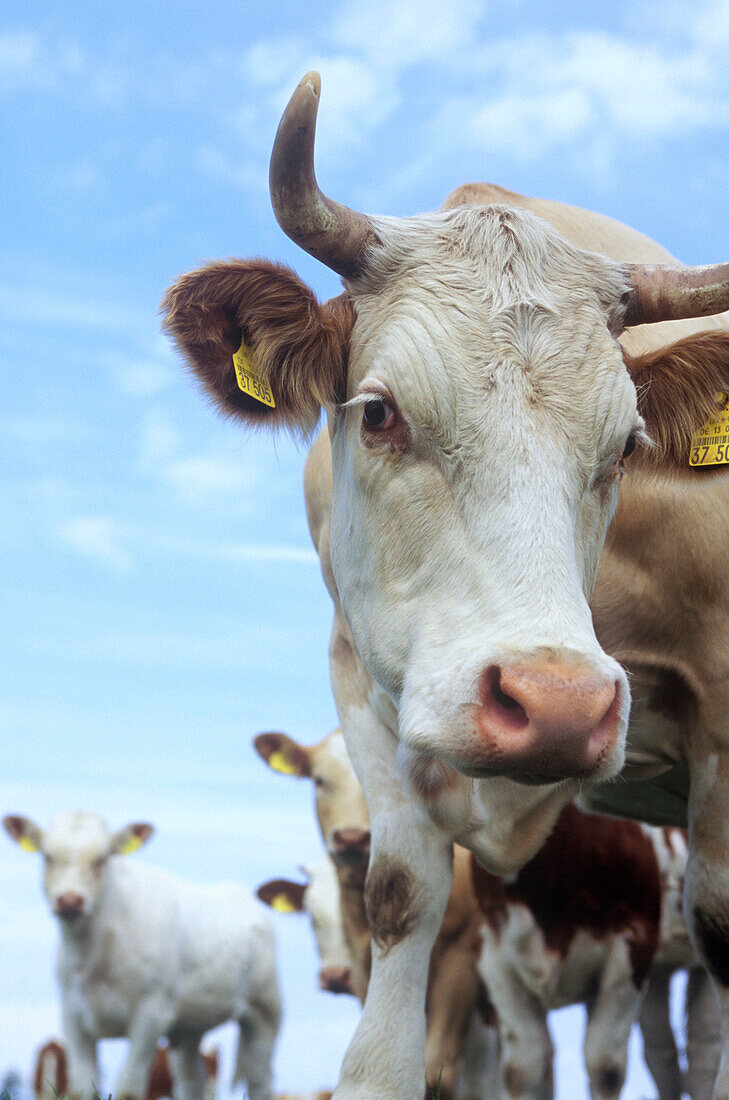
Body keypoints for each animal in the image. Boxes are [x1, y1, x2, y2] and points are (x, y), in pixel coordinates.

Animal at [8, 809, 281, 1100]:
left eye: (102, 859)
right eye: (48, 856)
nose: (70, 901)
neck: (96, 952)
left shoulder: (151, 1014)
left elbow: (128, 1087)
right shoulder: (73, 1016)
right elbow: (81, 1087)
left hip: (265, 1012)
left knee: (260, 1080)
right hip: (189, 1028)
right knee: (190, 1079)